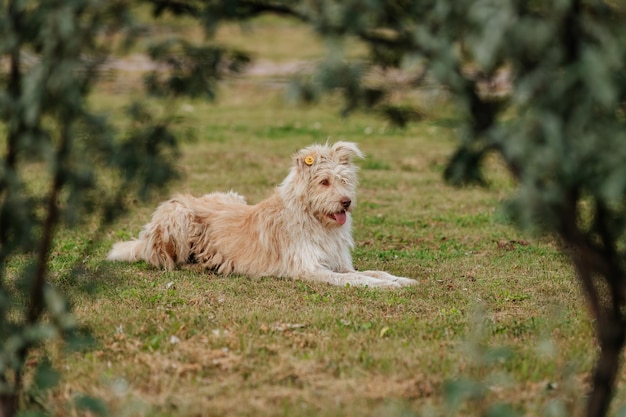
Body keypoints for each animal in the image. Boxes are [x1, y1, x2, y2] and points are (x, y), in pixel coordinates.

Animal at [107, 141, 416, 288]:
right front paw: (383, 286)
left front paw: (400, 280)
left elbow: (372, 272)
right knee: (168, 261)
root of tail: (145, 238)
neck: (314, 219)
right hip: (178, 215)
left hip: (231, 196)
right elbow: (358, 280)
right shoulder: (309, 269)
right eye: (324, 182)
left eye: (343, 180)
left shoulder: (338, 264)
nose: (346, 202)